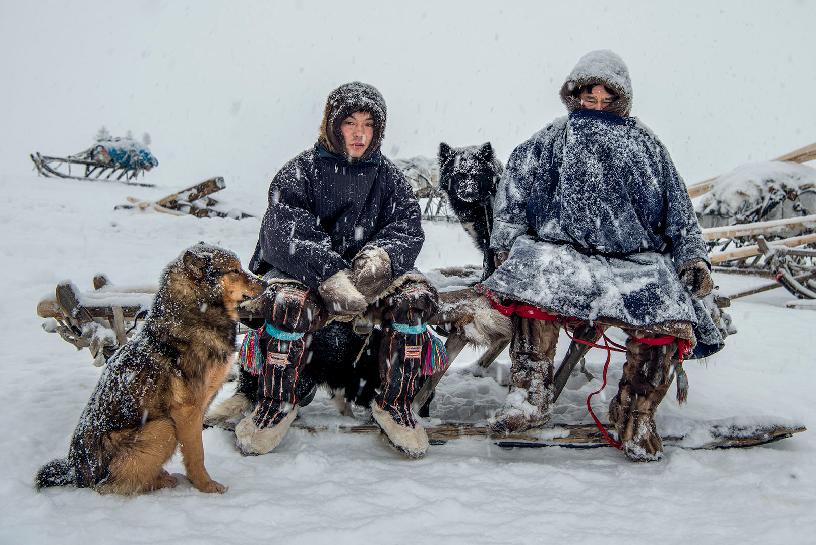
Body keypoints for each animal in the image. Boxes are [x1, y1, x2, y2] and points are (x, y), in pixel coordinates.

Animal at [35, 244, 264, 496]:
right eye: (234, 270)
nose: (265, 284)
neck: (196, 314)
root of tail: (75, 472)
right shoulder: (187, 411)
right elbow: (197, 454)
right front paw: (206, 486)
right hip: (164, 427)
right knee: (111, 485)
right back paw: (159, 482)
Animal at [440, 141, 504, 276]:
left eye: (476, 175)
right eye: (458, 175)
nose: (469, 192)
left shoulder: (489, 236)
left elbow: (488, 261)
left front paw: (486, 278)